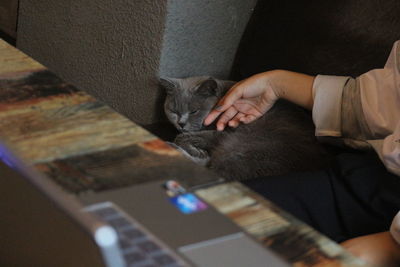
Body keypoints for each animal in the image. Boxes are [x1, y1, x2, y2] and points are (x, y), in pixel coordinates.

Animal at [159, 77, 332, 182]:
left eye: (194, 111)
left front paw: (195, 149)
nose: (181, 123)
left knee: (216, 173)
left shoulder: (223, 131)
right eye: (173, 110)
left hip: (243, 147)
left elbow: (187, 137)